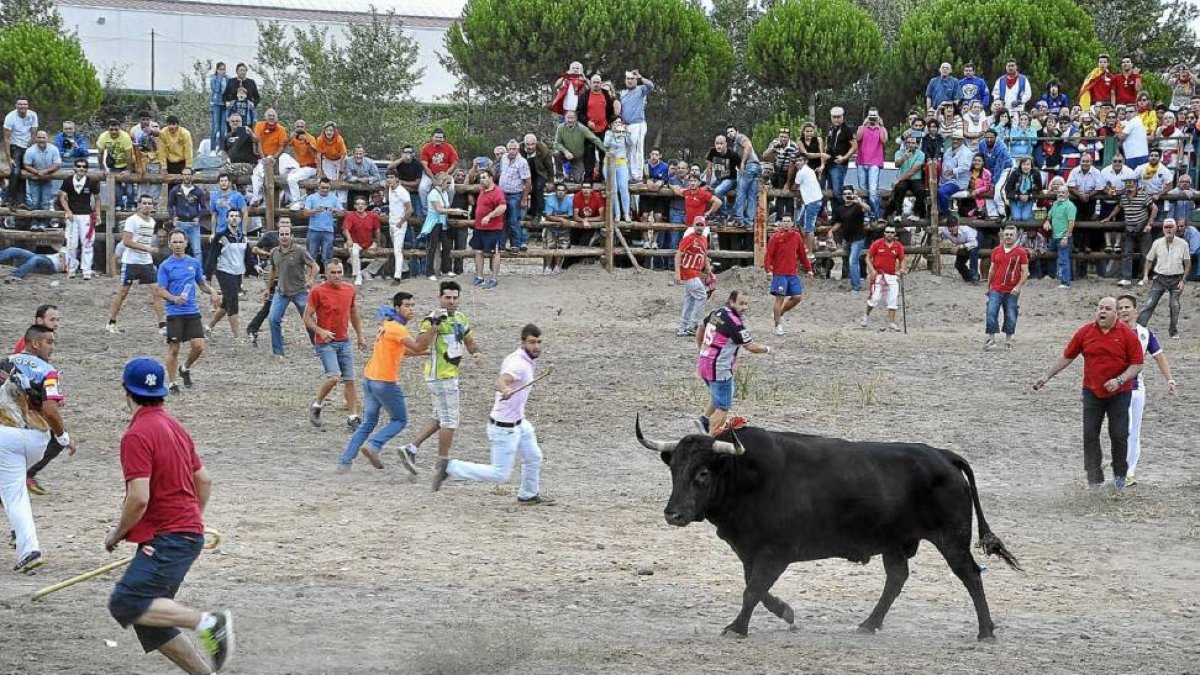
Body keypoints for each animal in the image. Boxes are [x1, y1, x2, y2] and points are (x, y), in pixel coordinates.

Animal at [638, 413, 1022, 638]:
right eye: (674, 470)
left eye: (703, 473)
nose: (673, 514)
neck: (747, 476)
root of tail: (944, 456)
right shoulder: (750, 551)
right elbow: (757, 589)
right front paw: (785, 612)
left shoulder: (775, 552)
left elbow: (753, 590)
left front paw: (736, 628)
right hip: (895, 543)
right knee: (897, 578)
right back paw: (869, 624)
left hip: (951, 539)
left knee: (970, 575)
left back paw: (986, 631)